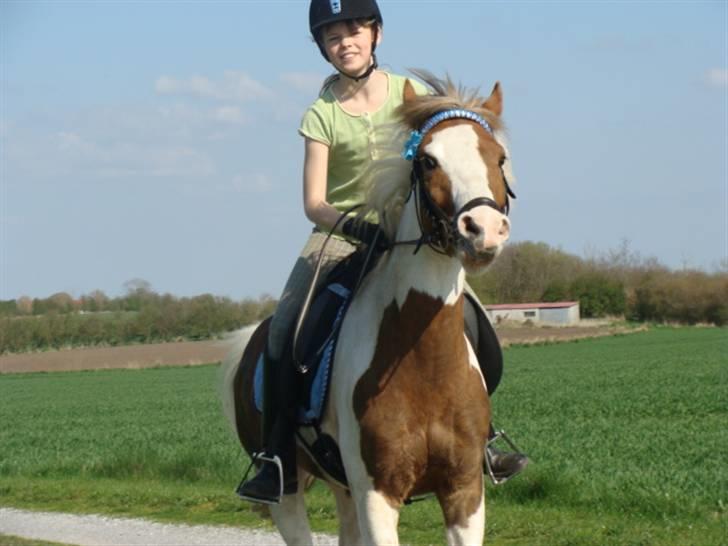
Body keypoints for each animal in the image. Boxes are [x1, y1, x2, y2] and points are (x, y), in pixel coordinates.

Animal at [222, 72, 516, 545]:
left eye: (499, 157)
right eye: (427, 161)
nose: (483, 230)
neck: (424, 359)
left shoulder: (464, 490)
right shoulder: (378, 494)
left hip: (344, 490)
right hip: (290, 496)